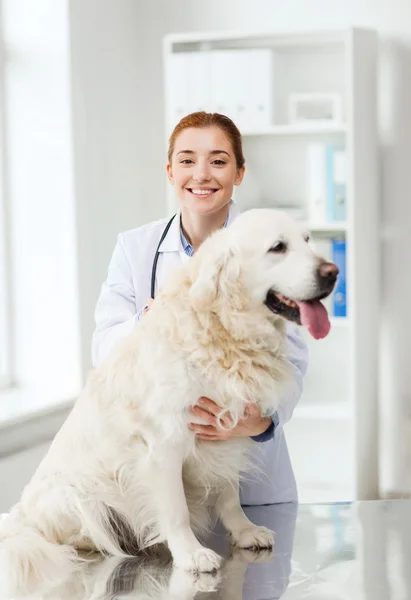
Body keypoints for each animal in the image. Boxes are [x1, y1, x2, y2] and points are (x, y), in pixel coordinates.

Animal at [0, 207, 338, 596]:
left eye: (308, 241)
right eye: (278, 247)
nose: (333, 272)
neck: (224, 331)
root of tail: (21, 518)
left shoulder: (226, 433)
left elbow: (229, 495)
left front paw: (243, 530)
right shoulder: (163, 445)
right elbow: (176, 510)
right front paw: (191, 554)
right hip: (76, 496)